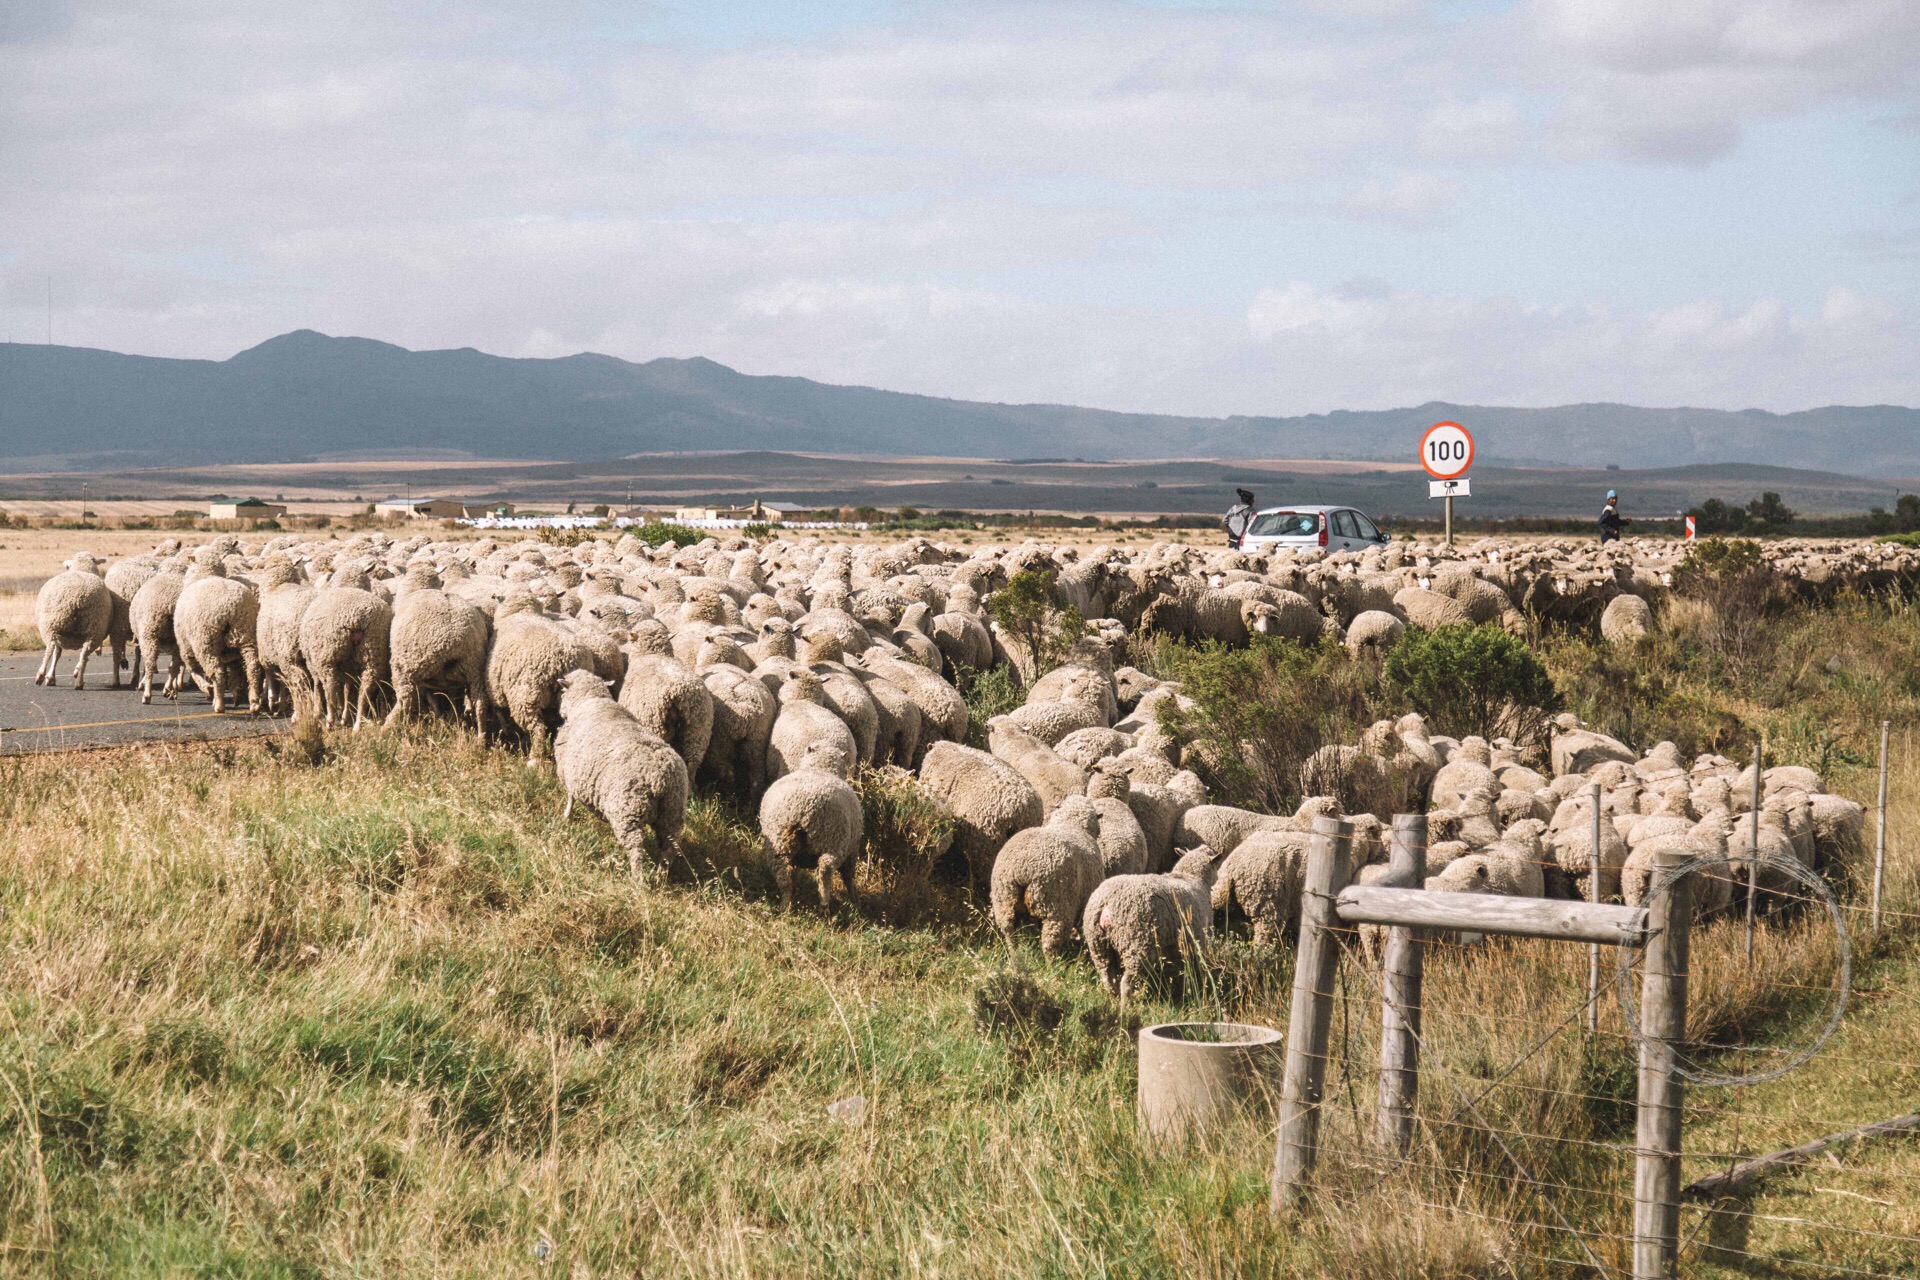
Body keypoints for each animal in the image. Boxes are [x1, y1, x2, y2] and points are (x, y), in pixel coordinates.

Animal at [32, 552, 112, 687]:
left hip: (51, 624)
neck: (82, 568)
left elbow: (57, 653)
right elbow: (61, 653)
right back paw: (79, 681)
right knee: (85, 653)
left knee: (50, 647)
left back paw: (40, 675)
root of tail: (78, 597)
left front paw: (50, 677)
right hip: (94, 628)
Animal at [556, 667, 691, 875]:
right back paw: (661, 876)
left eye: (563, 691)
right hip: (672, 811)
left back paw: (637, 879)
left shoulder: (568, 770)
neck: (591, 700)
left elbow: (570, 798)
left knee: (636, 849)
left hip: (628, 810)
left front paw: (566, 817)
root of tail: (661, 777)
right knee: (669, 848)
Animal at [756, 740, 864, 909]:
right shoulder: (852, 849)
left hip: (778, 843)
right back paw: (824, 905)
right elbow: (849, 876)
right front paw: (856, 902)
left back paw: (786, 905)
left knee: (784, 876)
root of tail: (802, 809)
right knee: (825, 870)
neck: (819, 768)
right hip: (834, 841)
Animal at [1090, 852, 1221, 997]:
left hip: (1098, 945)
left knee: (1107, 977)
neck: (1191, 877)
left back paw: (1113, 999)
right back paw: (1126, 1003)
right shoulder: (1200, 937)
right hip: (1137, 944)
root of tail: (1107, 903)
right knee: (1126, 983)